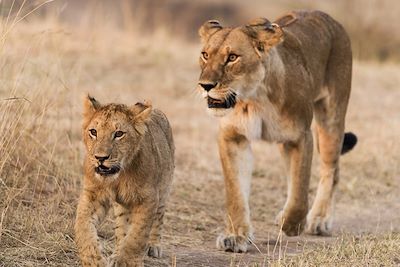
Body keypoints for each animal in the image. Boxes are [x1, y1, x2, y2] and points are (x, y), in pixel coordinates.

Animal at [197, 10, 356, 253]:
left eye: (232, 57)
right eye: (205, 55)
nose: (205, 85)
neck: (254, 97)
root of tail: (328, 17)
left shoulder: (300, 136)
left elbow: (300, 189)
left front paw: (292, 224)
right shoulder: (233, 137)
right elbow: (235, 193)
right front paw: (236, 237)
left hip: (331, 117)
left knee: (331, 170)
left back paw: (319, 220)